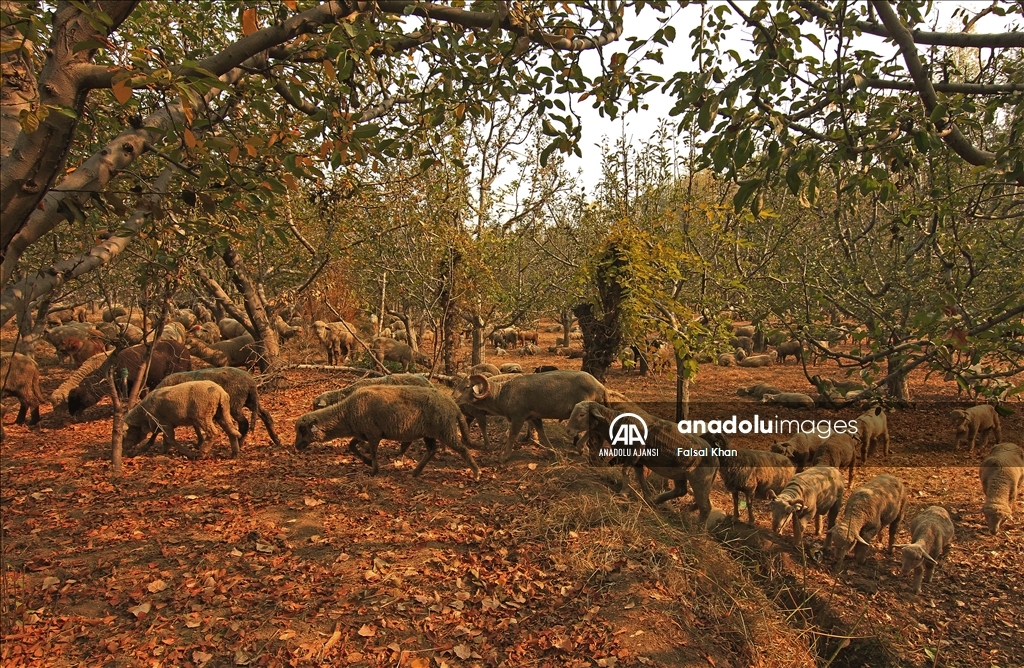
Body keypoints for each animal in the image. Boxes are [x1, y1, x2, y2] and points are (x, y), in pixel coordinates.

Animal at [152, 364, 280, 448]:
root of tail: (251, 383)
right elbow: (195, 426)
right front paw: (199, 443)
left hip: (236, 403)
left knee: (244, 423)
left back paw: (240, 442)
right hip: (250, 401)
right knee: (266, 415)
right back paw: (276, 440)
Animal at [290, 385, 477, 479]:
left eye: (302, 430)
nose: (296, 447)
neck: (346, 413)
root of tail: (454, 406)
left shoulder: (373, 434)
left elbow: (373, 452)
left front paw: (373, 471)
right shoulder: (363, 433)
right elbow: (351, 446)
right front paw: (366, 462)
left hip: (445, 430)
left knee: (462, 449)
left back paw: (476, 473)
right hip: (429, 433)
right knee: (432, 450)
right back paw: (414, 473)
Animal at [456, 370, 606, 465]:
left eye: (467, 387)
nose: (455, 399)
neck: (501, 395)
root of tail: (601, 387)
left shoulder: (518, 417)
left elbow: (512, 436)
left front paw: (503, 457)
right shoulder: (533, 417)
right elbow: (542, 433)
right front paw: (551, 451)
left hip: (584, 410)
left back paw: (580, 446)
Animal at [569, 397, 720, 522]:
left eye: (582, 414)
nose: (568, 430)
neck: (617, 423)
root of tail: (716, 459)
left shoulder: (635, 451)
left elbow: (625, 471)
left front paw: (624, 492)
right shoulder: (638, 459)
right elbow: (640, 477)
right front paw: (647, 497)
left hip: (700, 480)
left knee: (705, 507)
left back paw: (697, 529)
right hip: (680, 472)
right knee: (681, 491)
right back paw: (658, 500)